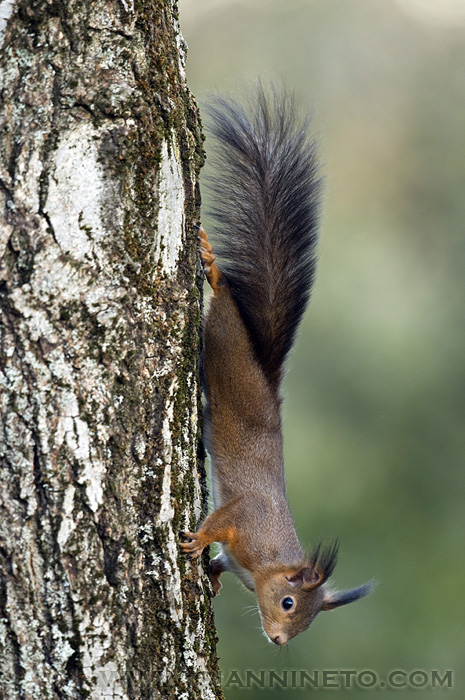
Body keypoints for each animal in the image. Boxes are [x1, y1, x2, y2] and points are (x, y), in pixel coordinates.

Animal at [179, 86, 372, 644]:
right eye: (288, 602)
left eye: (305, 621)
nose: (279, 640)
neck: (267, 563)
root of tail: (264, 372)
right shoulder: (246, 518)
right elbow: (220, 521)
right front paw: (197, 541)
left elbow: (221, 562)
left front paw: (212, 576)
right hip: (224, 340)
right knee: (223, 299)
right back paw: (212, 267)